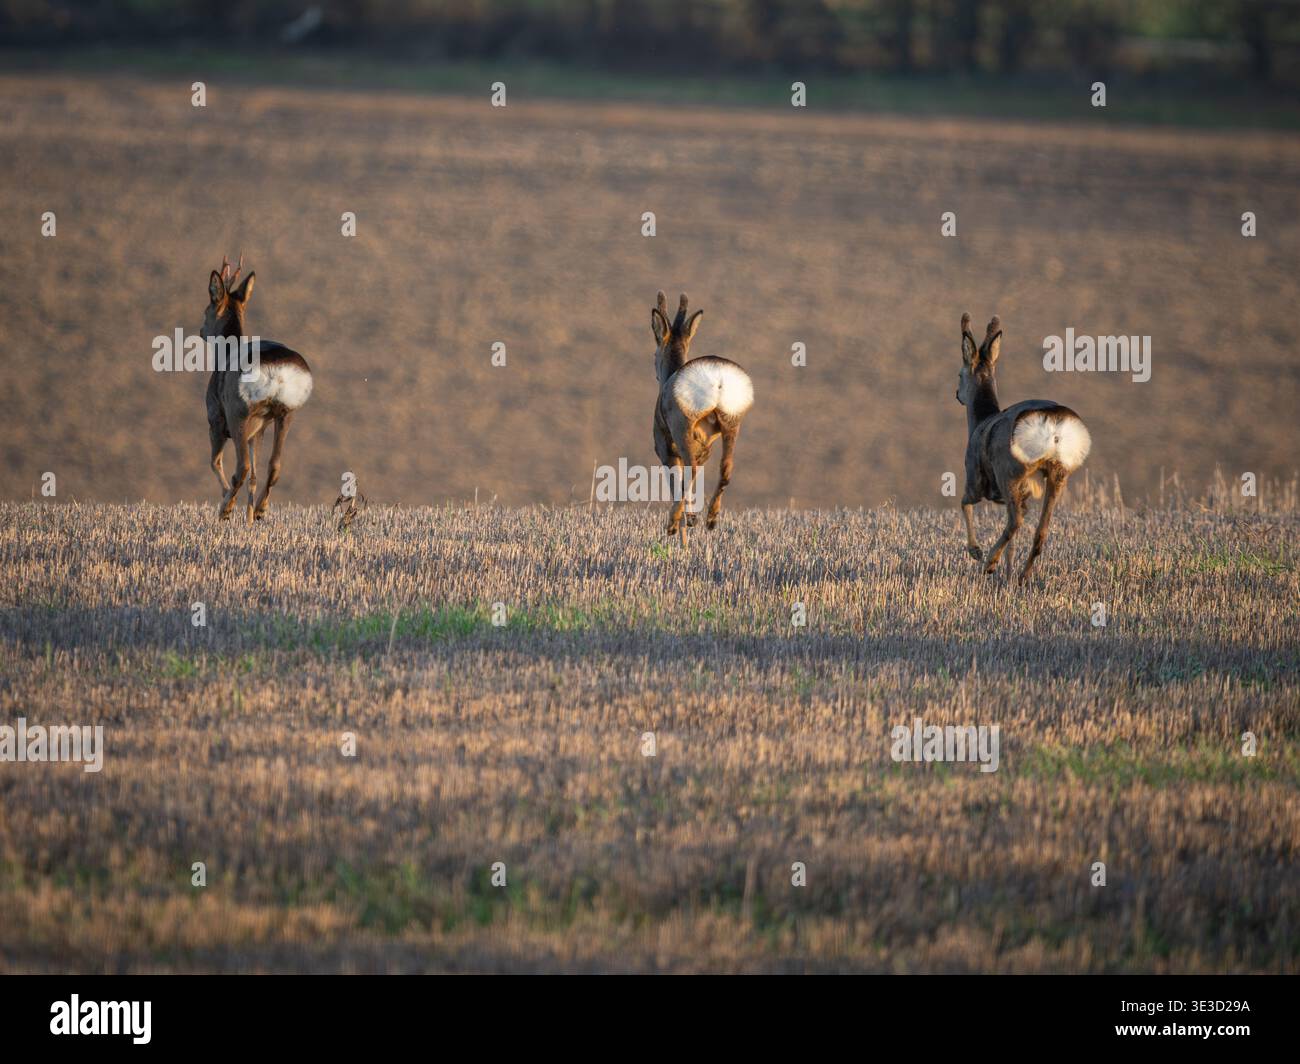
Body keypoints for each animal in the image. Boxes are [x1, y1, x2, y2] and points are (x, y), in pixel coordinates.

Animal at [202, 255, 313, 522]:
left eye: (206, 310)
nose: (201, 331)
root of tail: (277, 371)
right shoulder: (259, 429)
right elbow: (254, 473)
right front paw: (249, 517)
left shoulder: (215, 417)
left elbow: (215, 462)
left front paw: (228, 503)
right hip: (285, 413)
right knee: (274, 465)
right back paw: (261, 510)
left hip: (239, 412)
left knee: (240, 467)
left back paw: (225, 508)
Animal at [650, 291, 754, 539]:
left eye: (653, 354)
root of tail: (718, 377)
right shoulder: (704, 451)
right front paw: (692, 519)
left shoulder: (665, 449)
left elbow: (676, 483)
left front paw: (683, 524)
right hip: (732, 423)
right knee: (726, 468)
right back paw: (710, 519)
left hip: (682, 425)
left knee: (691, 472)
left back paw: (673, 523)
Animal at [957, 313, 1091, 583]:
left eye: (958, 375)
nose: (957, 394)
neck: (980, 421)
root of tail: (1054, 422)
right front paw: (1007, 572)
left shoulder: (974, 475)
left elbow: (964, 503)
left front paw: (975, 551)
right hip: (1059, 473)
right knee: (1040, 531)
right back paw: (1021, 576)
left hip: (1009, 470)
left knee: (1015, 521)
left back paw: (989, 563)